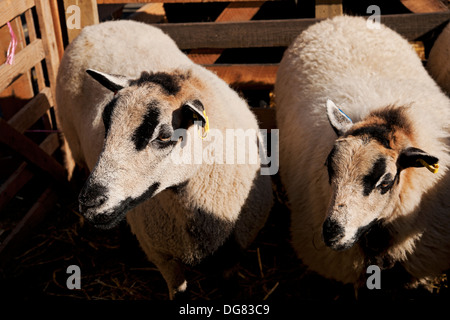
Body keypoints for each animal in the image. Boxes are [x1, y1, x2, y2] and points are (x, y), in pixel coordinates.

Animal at [56, 20, 274, 298]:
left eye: (164, 136)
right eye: (106, 123)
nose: (90, 203)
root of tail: (103, 24)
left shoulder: (232, 256)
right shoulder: (162, 257)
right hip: (75, 145)